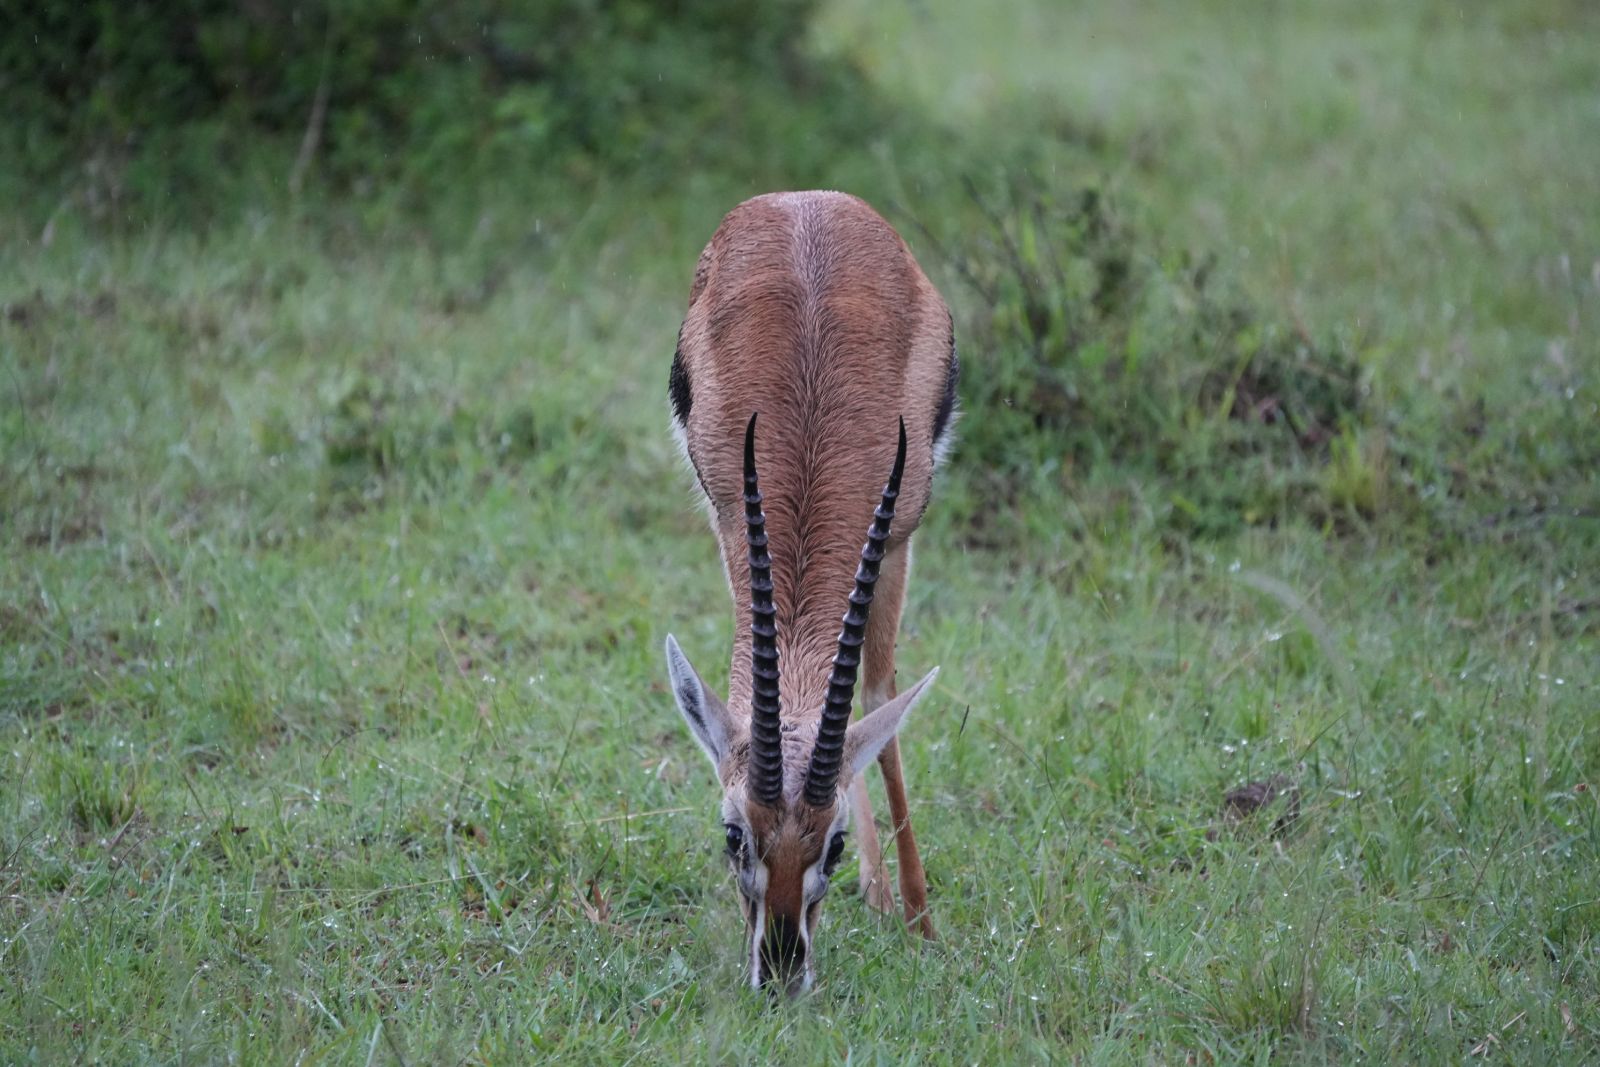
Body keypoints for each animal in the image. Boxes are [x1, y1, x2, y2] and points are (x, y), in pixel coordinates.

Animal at [663, 191, 958, 995]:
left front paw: (921, 923)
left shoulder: (897, 542)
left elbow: (879, 693)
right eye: (733, 833)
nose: (782, 969)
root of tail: (808, 199)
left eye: (832, 844)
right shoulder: (730, 524)